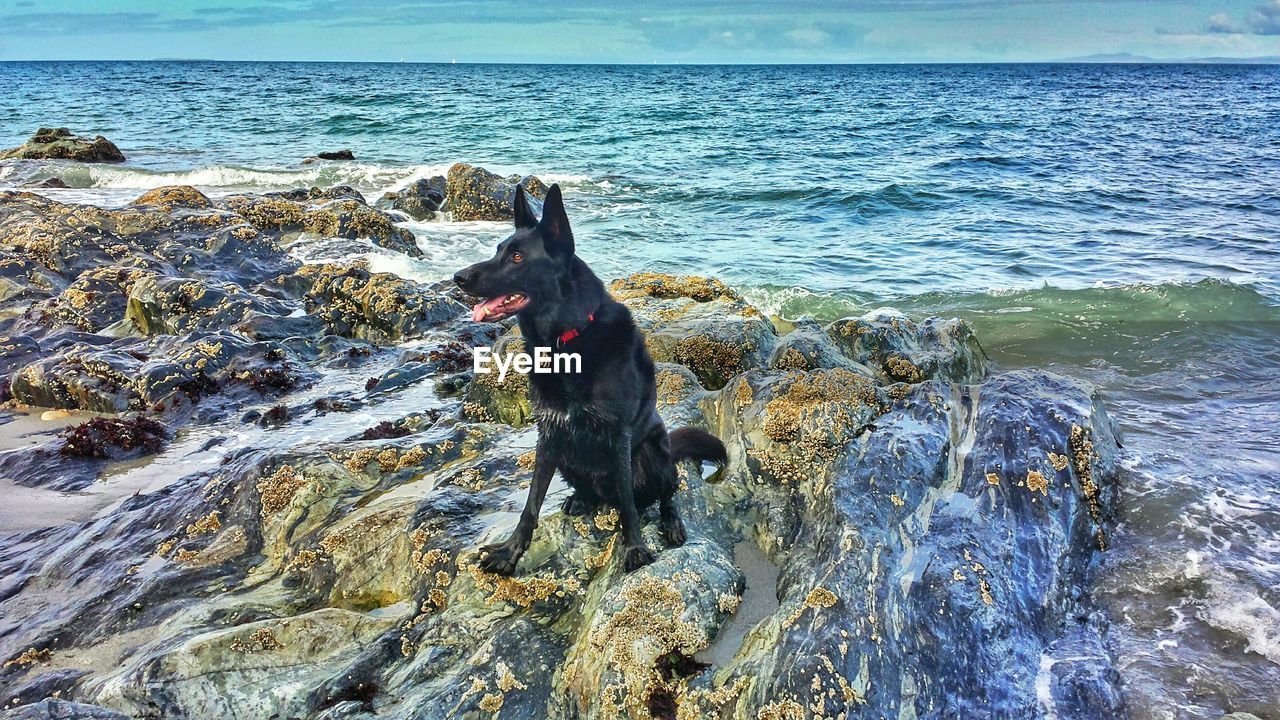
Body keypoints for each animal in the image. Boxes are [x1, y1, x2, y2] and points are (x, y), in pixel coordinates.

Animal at [455, 183, 727, 571]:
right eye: (497, 250)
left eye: (517, 258)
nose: (458, 278)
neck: (565, 342)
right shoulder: (549, 434)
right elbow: (531, 503)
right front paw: (511, 551)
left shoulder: (618, 436)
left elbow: (628, 505)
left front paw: (634, 547)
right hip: (569, 458)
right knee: (590, 490)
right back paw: (580, 499)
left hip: (654, 453)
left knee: (666, 492)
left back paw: (671, 521)